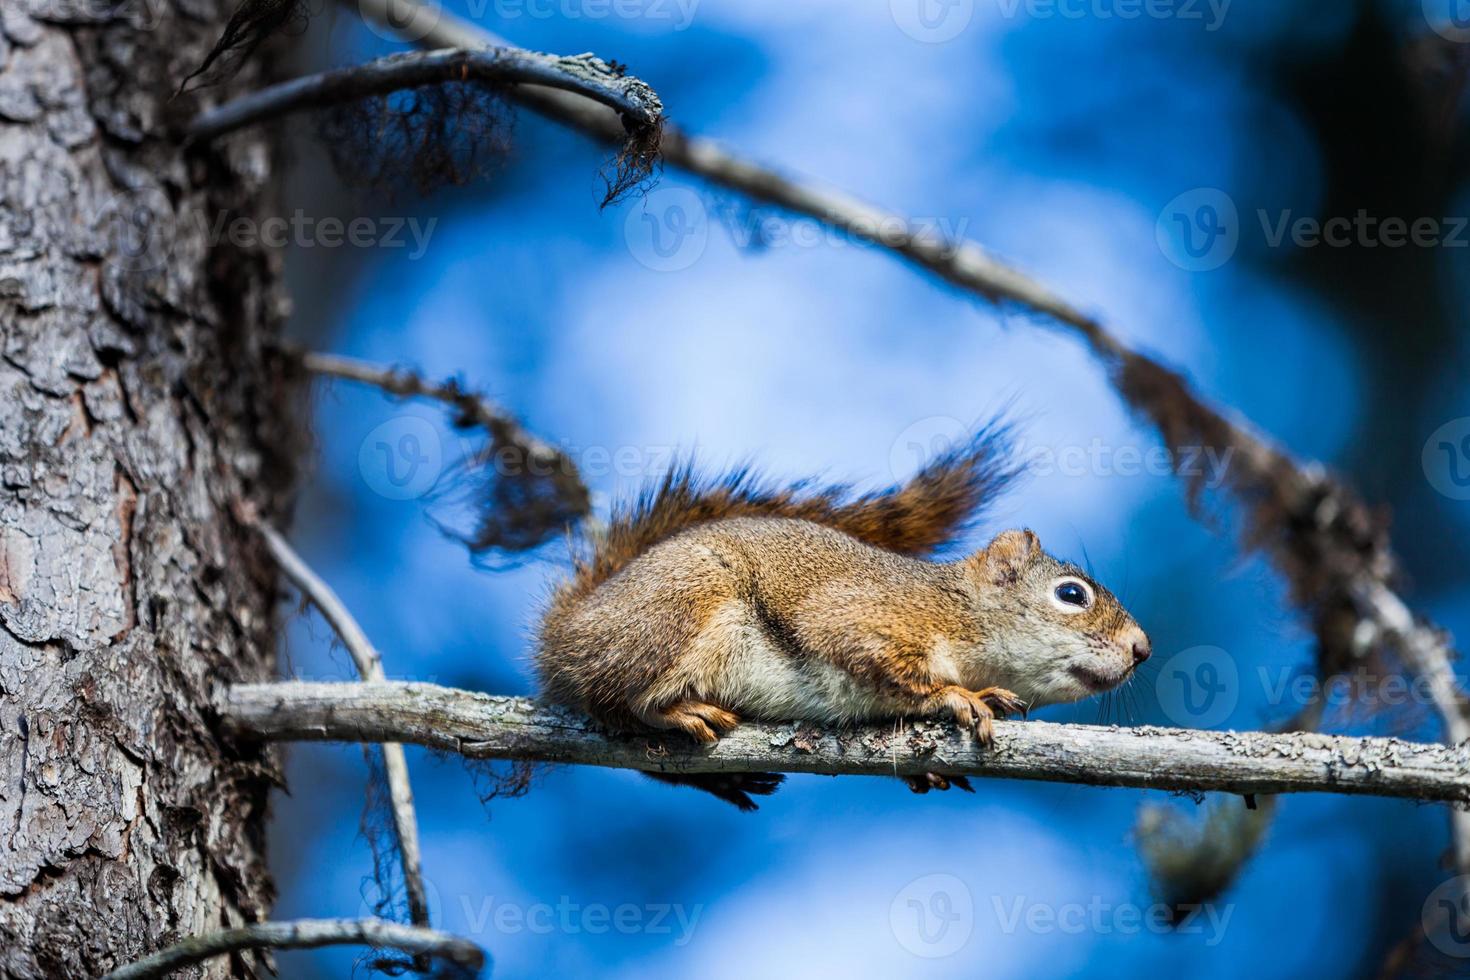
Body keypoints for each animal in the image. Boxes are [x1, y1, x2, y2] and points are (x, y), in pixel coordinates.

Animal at [538, 426, 1146, 811]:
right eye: (1072, 594)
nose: (1143, 649)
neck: (953, 610)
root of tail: (567, 635)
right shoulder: (865, 618)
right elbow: (891, 669)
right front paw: (959, 697)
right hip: (683, 612)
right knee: (625, 700)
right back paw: (679, 711)